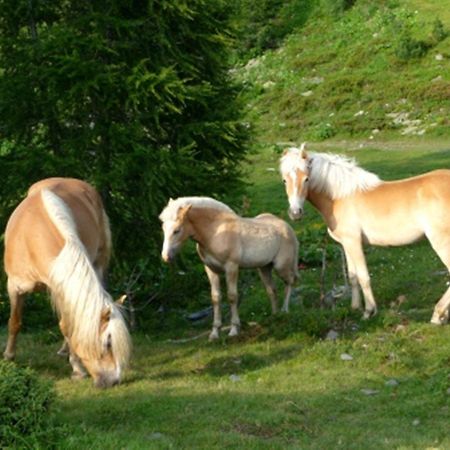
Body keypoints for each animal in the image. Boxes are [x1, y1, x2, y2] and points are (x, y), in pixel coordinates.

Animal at [3, 178, 130, 388]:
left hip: (98, 263)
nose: (113, 381)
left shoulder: (61, 289)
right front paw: (9, 357)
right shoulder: (15, 286)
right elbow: (15, 322)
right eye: (108, 343)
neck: (30, 238)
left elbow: (68, 326)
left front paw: (77, 368)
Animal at [158, 195, 298, 340]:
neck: (215, 232)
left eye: (177, 230)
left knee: (290, 281)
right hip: (264, 268)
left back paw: (285, 311)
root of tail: (288, 227)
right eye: (163, 228)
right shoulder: (211, 270)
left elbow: (232, 296)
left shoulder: (231, 267)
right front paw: (214, 333)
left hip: (281, 267)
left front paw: (234, 330)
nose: (166, 257)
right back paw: (275, 317)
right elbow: (216, 298)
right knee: (272, 290)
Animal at [280, 144, 450, 324]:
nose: (295, 213)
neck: (339, 197)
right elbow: (353, 276)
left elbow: (363, 277)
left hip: (441, 242)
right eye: (284, 180)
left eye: (306, 179)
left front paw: (369, 311)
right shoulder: (346, 244)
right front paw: (355, 307)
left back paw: (437, 315)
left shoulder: (354, 242)